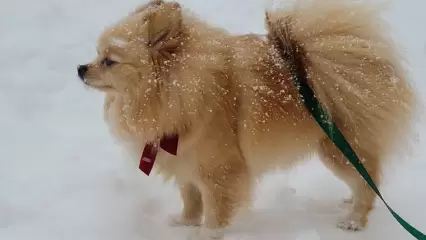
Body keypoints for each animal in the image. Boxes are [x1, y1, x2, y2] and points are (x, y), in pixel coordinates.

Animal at [77, 0, 416, 238]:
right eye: (96, 54)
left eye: (109, 61)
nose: (81, 68)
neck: (176, 96)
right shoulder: (185, 162)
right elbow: (191, 197)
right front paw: (186, 221)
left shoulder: (220, 171)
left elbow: (215, 209)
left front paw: (205, 234)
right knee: (366, 179)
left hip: (336, 151)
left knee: (368, 183)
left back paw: (355, 220)